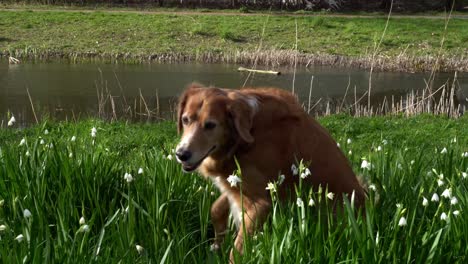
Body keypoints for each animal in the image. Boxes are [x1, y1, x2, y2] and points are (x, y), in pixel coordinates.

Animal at [175, 83, 366, 260]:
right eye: (185, 120)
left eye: (210, 125)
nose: (181, 154)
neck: (248, 134)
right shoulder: (236, 186)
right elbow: (216, 209)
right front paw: (216, 246)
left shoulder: (260, 203)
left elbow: (237, 250)